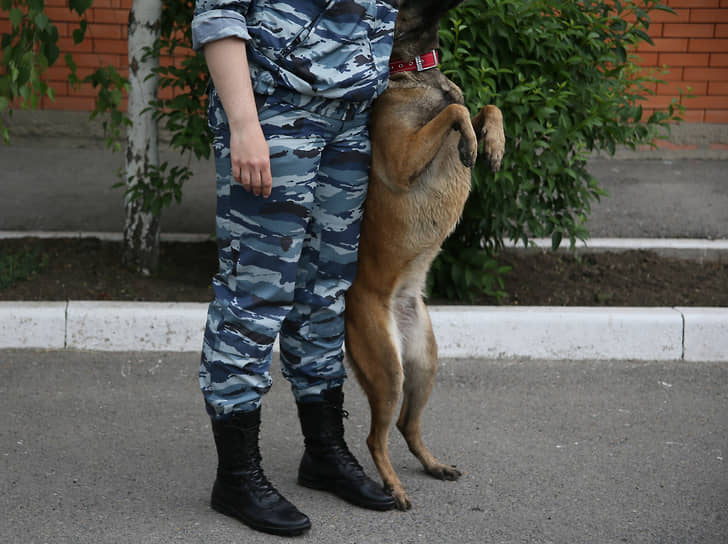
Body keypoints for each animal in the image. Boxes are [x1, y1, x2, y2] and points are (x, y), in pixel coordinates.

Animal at [342, 0, 504, 510]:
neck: (413, 71)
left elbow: (484, 104)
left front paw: (492, 143)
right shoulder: (403, 157)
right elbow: (457, 108)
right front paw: (471, 138)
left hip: (424, 364)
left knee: (405, 425)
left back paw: (433, 465)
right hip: (389, 371)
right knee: (376, 437)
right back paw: (393, 487)